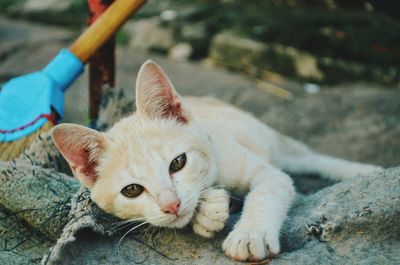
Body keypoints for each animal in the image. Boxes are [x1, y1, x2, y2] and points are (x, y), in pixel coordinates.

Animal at [50, 59, 382, 260]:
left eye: (178, 163)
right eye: (132, 190)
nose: (171, 205)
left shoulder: (266, 171)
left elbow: (267, 190)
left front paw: (250, 234)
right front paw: (208, 212)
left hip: (268, 138)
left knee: (305, 157)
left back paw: (361, 169)